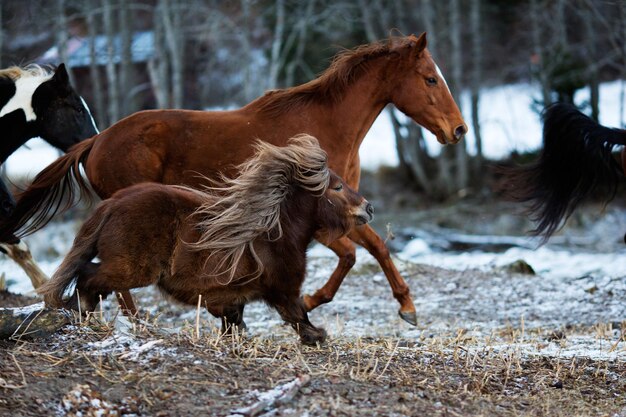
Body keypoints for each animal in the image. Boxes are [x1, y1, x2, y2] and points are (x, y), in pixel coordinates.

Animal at [37, 134, 370, 344]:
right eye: (337, 187)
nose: (368, 208)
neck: (275, 233)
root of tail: (111, 205)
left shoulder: (233, 298)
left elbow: (234, 322)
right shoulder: (282, 290)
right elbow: (298, 314)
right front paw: (318, 336)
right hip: (131, 270)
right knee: (88, 276)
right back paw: (81, 311)